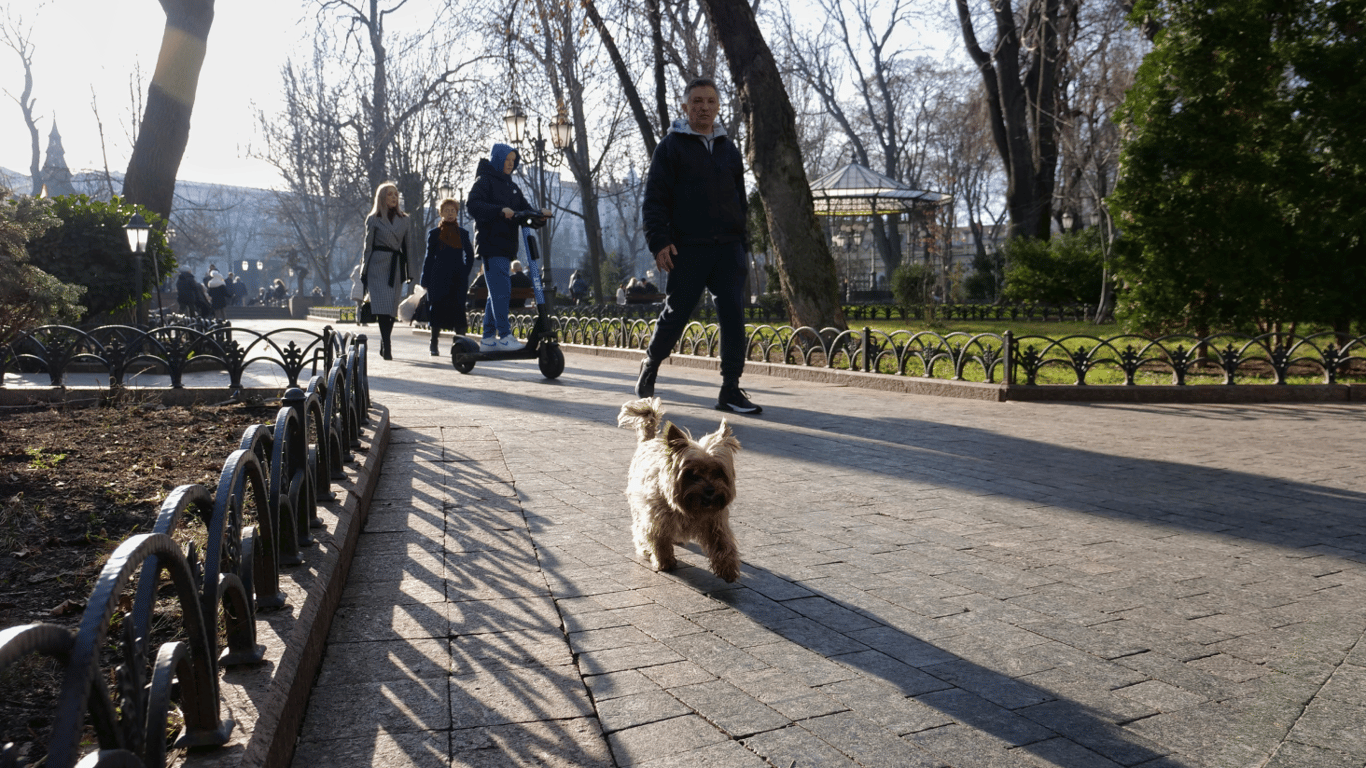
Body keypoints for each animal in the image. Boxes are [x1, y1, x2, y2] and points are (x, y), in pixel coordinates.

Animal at [620, 393, 743, 579]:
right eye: (692, 474)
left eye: (718, 472)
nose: (710, 490)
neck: (691, 507)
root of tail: (649, 440)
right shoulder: (657, 519)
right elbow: (659, 540)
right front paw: (664, 562)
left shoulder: (715, 520)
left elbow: (723, 542)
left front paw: (727, 569)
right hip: (638, 506)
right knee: (639, 529)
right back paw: (646, 550)